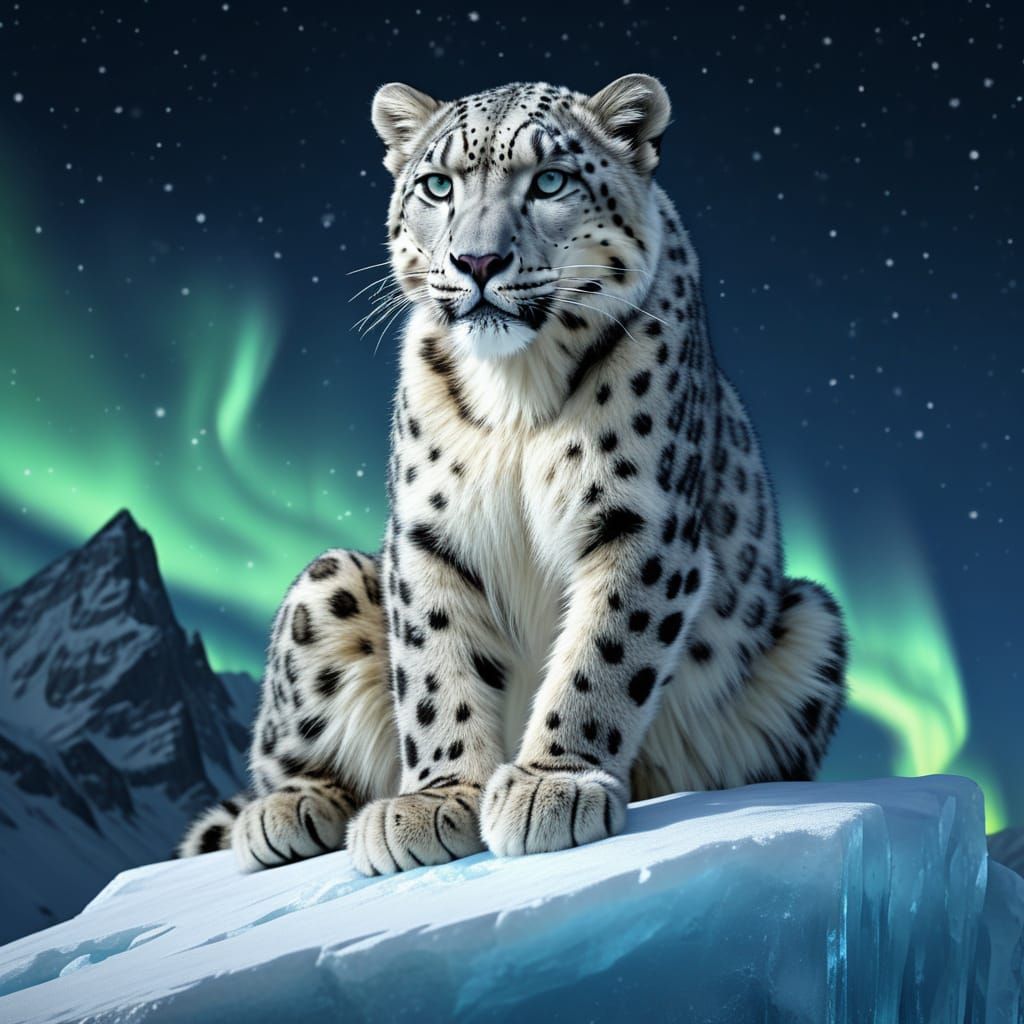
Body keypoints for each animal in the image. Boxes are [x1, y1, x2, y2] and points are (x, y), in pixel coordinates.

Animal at [179, 74, 848, 875]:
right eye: (438, 185)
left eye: (550, 180)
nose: (477, 261)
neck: (517, 396)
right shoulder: (429, 531)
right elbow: (435, 666)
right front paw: (436, 801)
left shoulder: (640, 521)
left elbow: (604, 652)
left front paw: (550, 786)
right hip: (324, 584)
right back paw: (288, 810)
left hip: (812, 620)